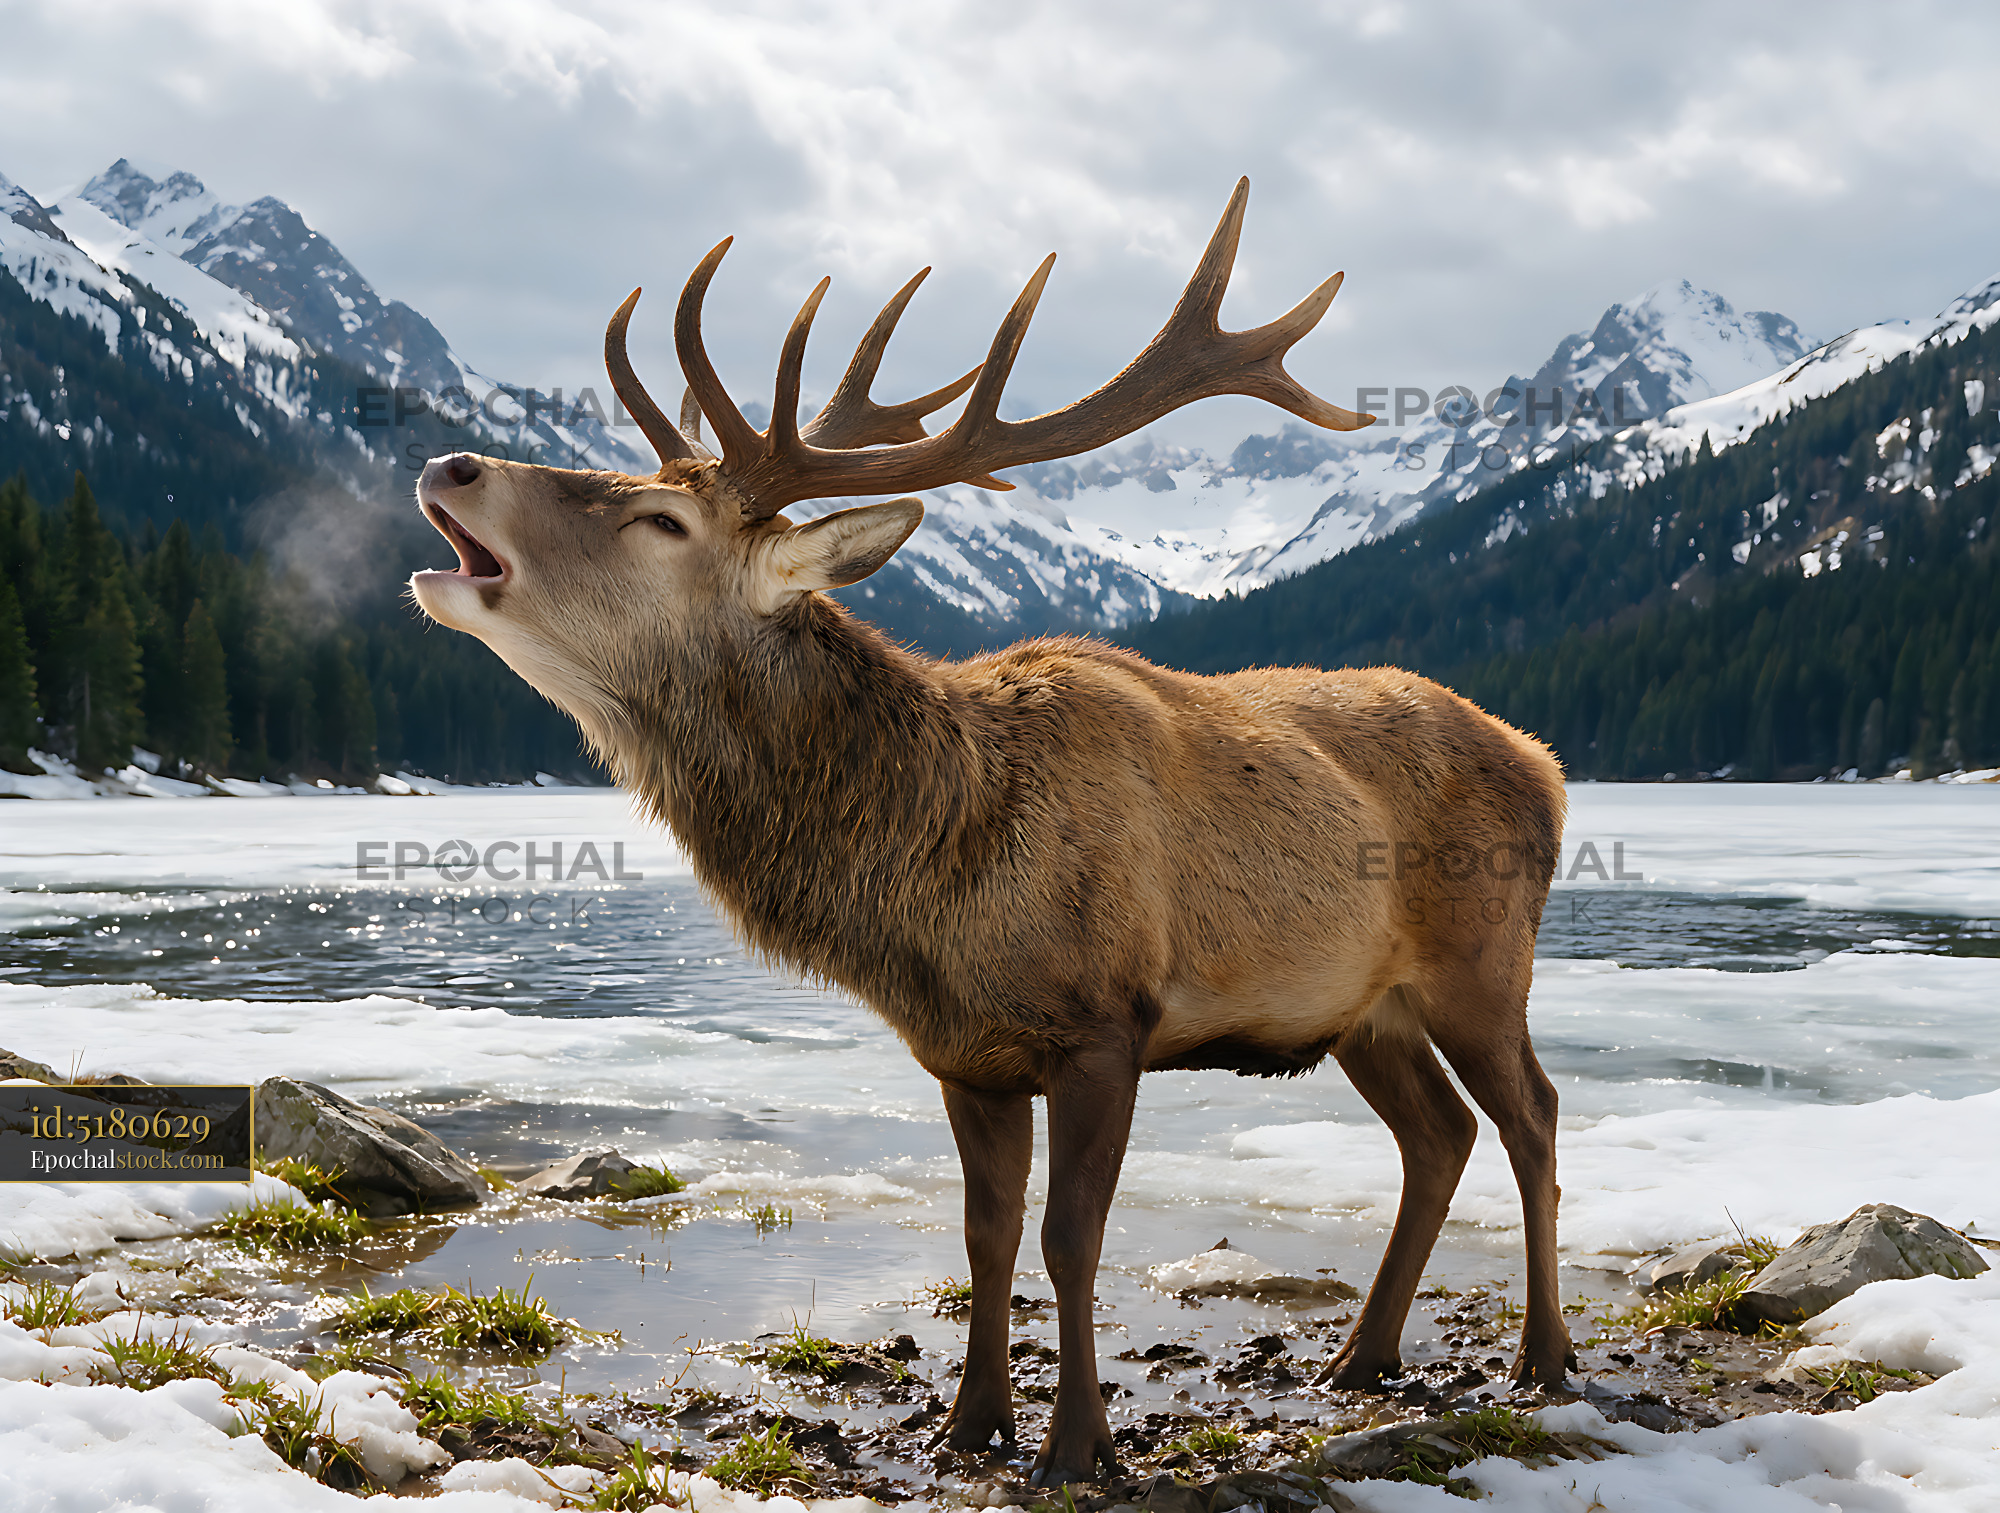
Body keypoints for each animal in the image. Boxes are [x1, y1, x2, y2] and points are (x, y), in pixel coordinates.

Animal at [407, 179, 1573, 1487]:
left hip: (1482, 960)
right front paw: (967, 1427)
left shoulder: (1107, 1021)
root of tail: (1547, 764)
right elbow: (985, 1236)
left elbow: (1071, 1237)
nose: (451, 461)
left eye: (661, 519)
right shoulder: (963, 1051)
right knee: (1436, 1136)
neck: (933, 883)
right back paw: (1360, 1357)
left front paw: (1077, 1446)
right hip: (1361, 1007)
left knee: (1530, 1116)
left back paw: (1542, 1357)